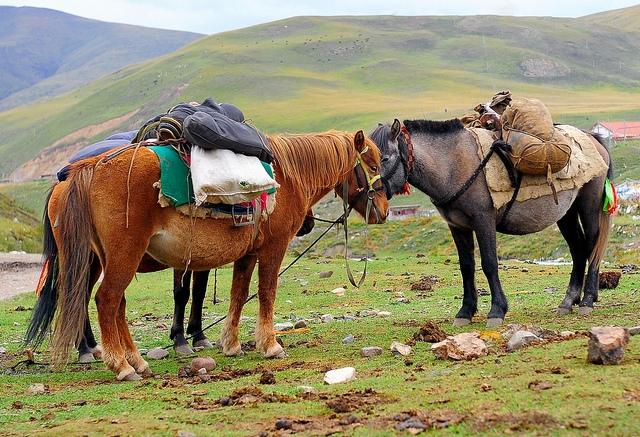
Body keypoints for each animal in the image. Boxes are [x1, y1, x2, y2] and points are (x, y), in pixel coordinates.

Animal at [25, 130, 388, 378]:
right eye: (372, 164)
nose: (383, 211)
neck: (286, 177)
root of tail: (88, 168)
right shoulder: (273, 248)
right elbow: (266, 292)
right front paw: (270, 345)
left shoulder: (247, 254)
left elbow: (238, 294)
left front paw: (231, 344)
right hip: (116, 256)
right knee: (104, 300)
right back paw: (119, 364)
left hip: (107, 257)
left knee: (113, 304)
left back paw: (136, 361)